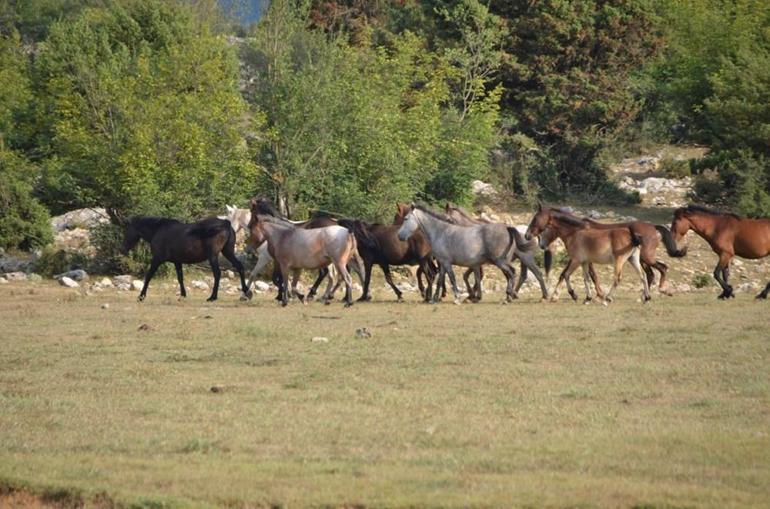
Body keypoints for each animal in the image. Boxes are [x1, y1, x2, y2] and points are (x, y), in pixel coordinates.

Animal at [396, 203, 544, 306]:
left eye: (406, 218)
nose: (399, 236)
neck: (440, 232)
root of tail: (508, 228)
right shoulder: (443, 263)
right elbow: (440, 280)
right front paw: (435, 299)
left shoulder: (447, 263)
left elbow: (452, 279)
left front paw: (457, 298)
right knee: (514, 274)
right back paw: (511, 296)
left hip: (501, 261)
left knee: (514, 273)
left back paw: (511, 296)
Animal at [520, 205, 648, 302]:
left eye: (536, 218)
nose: (527, 235)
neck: (575, 231)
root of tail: (632, 236)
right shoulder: (583, 261)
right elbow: (585, 278)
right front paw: (587, 297)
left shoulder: (576, 260)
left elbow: (567, 274)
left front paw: (573, 294)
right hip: (633, 259)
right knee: (643, 275)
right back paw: (646, 297)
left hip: (619, 261)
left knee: (618, 278)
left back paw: (609, 297)